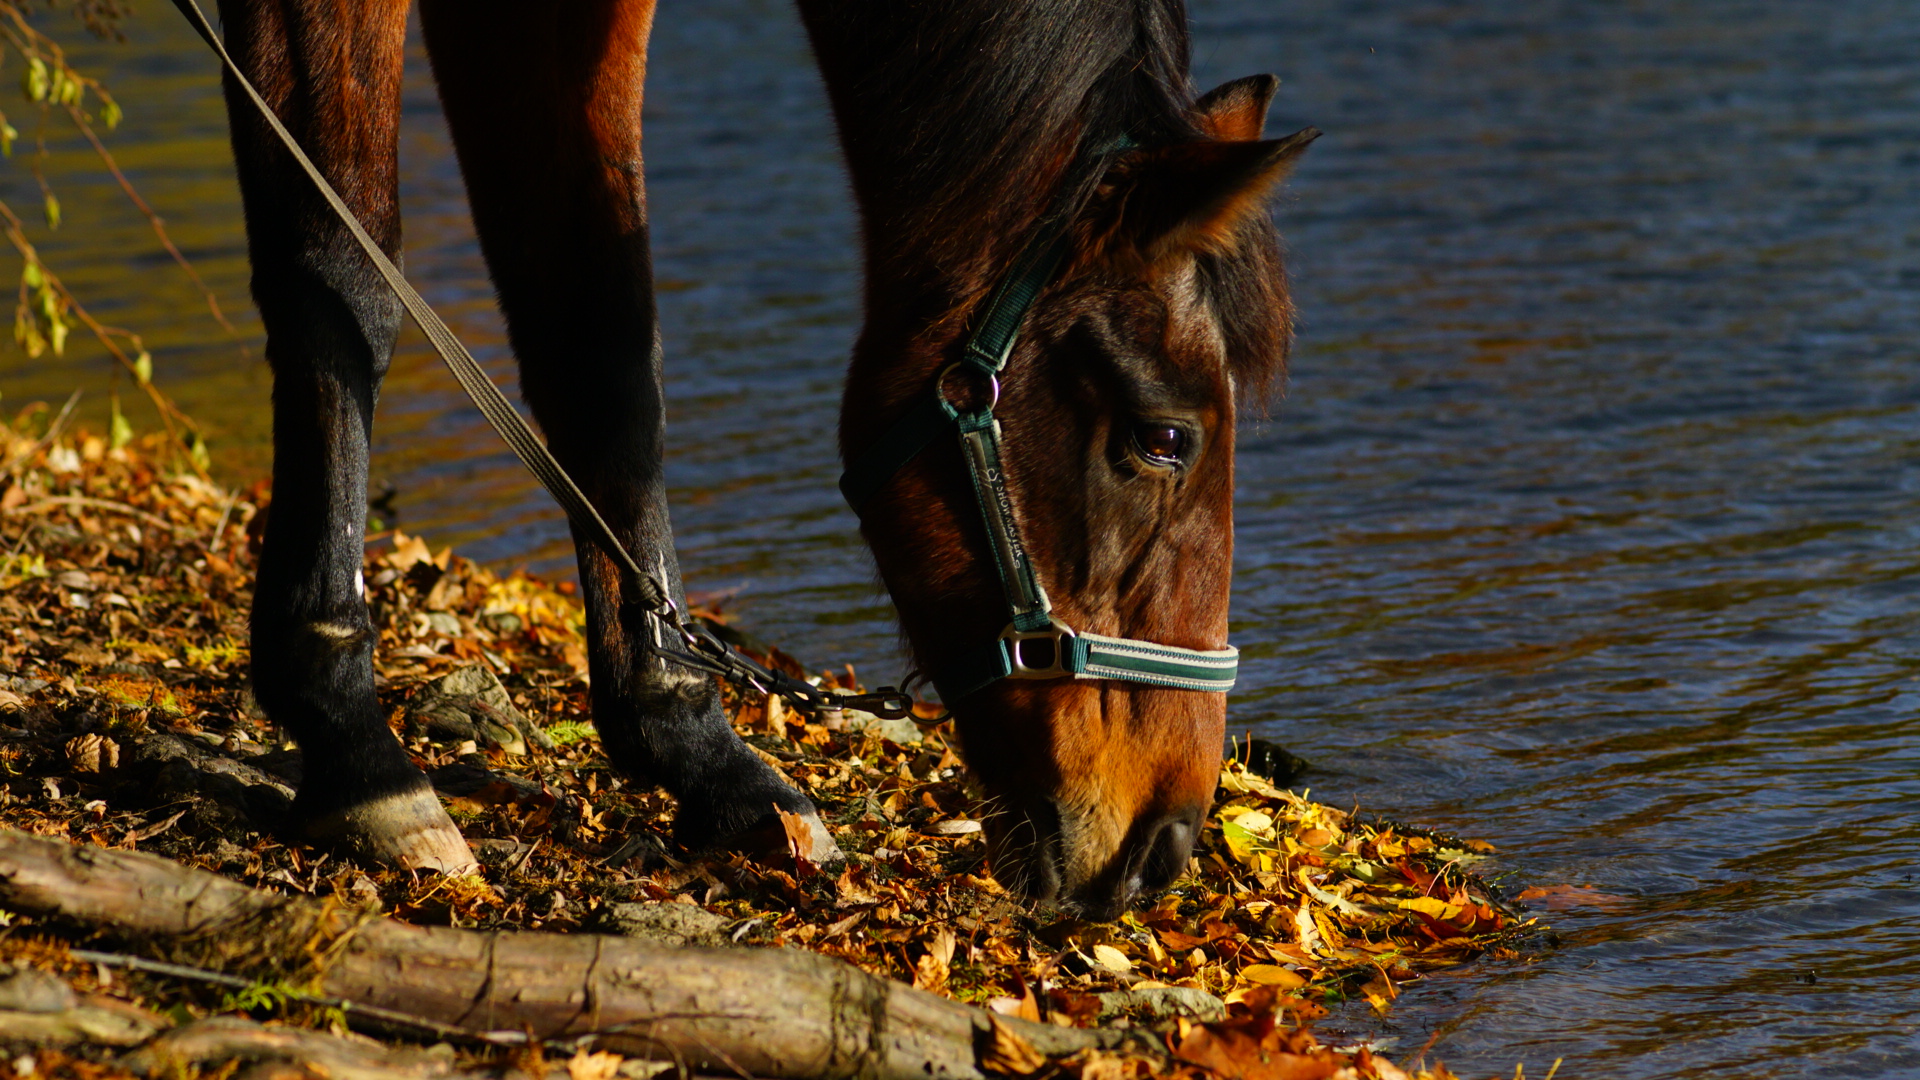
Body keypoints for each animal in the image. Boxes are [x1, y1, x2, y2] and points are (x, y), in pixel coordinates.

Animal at [217, 0, 1313, 914]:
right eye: (1163, 439)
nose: (1164, 844)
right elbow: (340, 273)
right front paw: (351, 742)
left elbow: (602, 333)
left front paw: (696, 749)